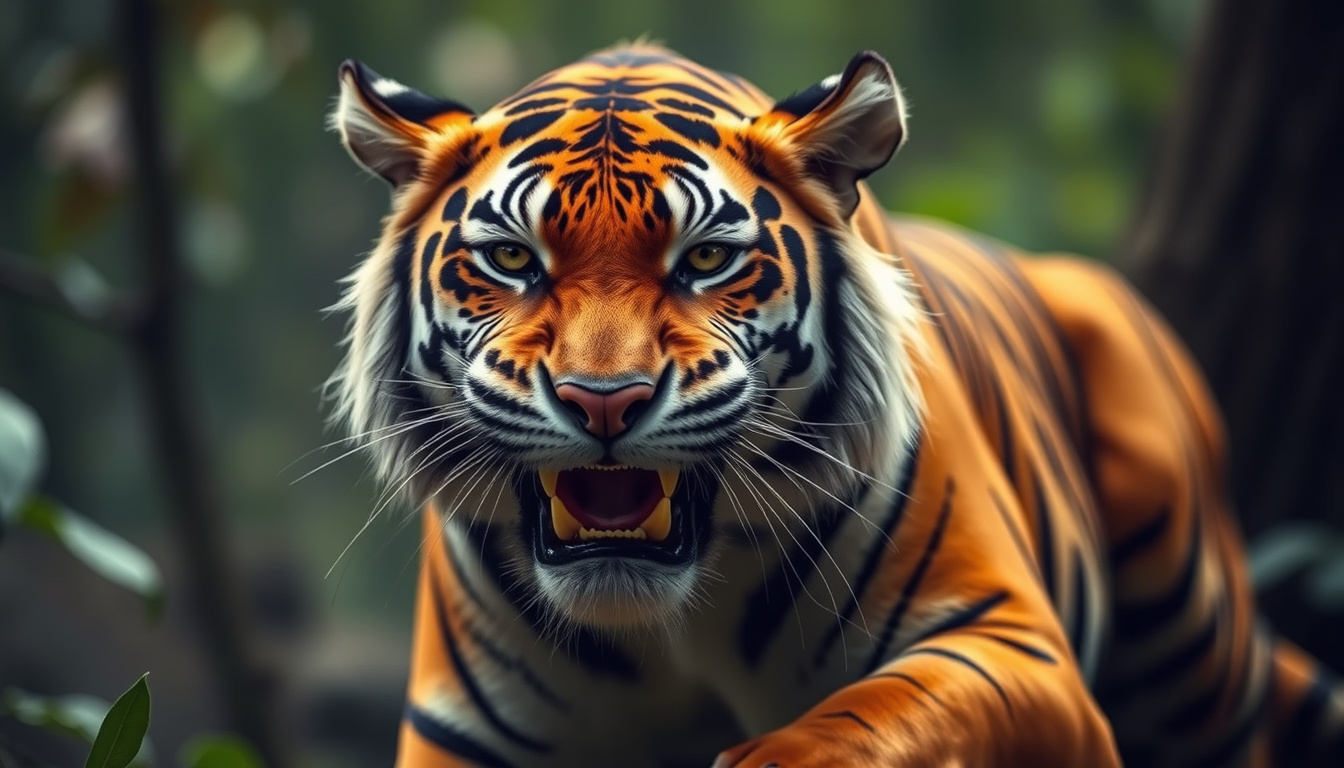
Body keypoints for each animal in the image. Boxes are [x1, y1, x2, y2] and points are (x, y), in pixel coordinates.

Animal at [324, 42, 1344, 768]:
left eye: (706, 259)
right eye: (510, 259)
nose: (603, 401)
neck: (665, 624)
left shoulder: (1010, 645)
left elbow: (857, 729)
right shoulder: (464, 734)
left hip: (1193, 638)